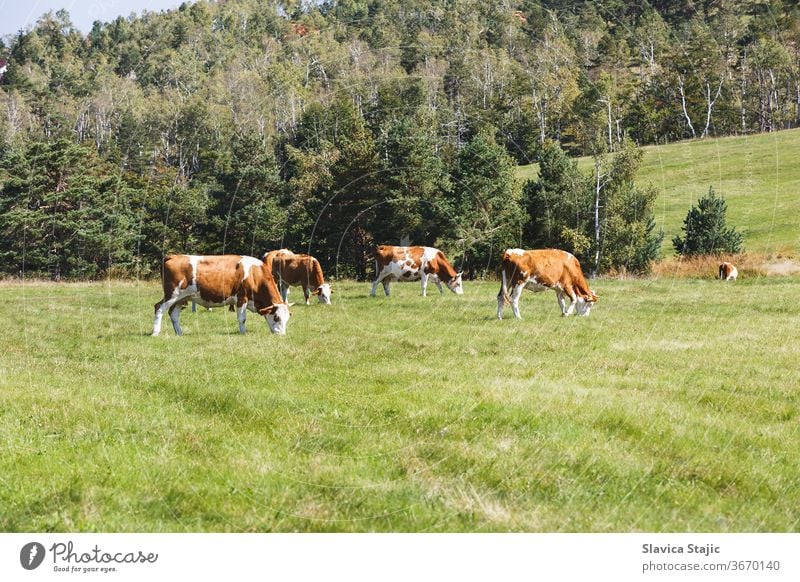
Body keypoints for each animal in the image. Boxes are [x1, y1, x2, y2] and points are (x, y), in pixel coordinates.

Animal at [152, 252, 292, 338]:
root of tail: (173, 256)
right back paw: (155, 332)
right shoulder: (242, 298)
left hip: (181, 298)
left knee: (173, 314)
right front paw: (243, 333)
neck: (254, 274)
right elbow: (242, 318)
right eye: (276, 317)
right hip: (172, 294)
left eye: (287, 319)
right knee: (159, 307)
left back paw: (179, 333)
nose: (282, 335)